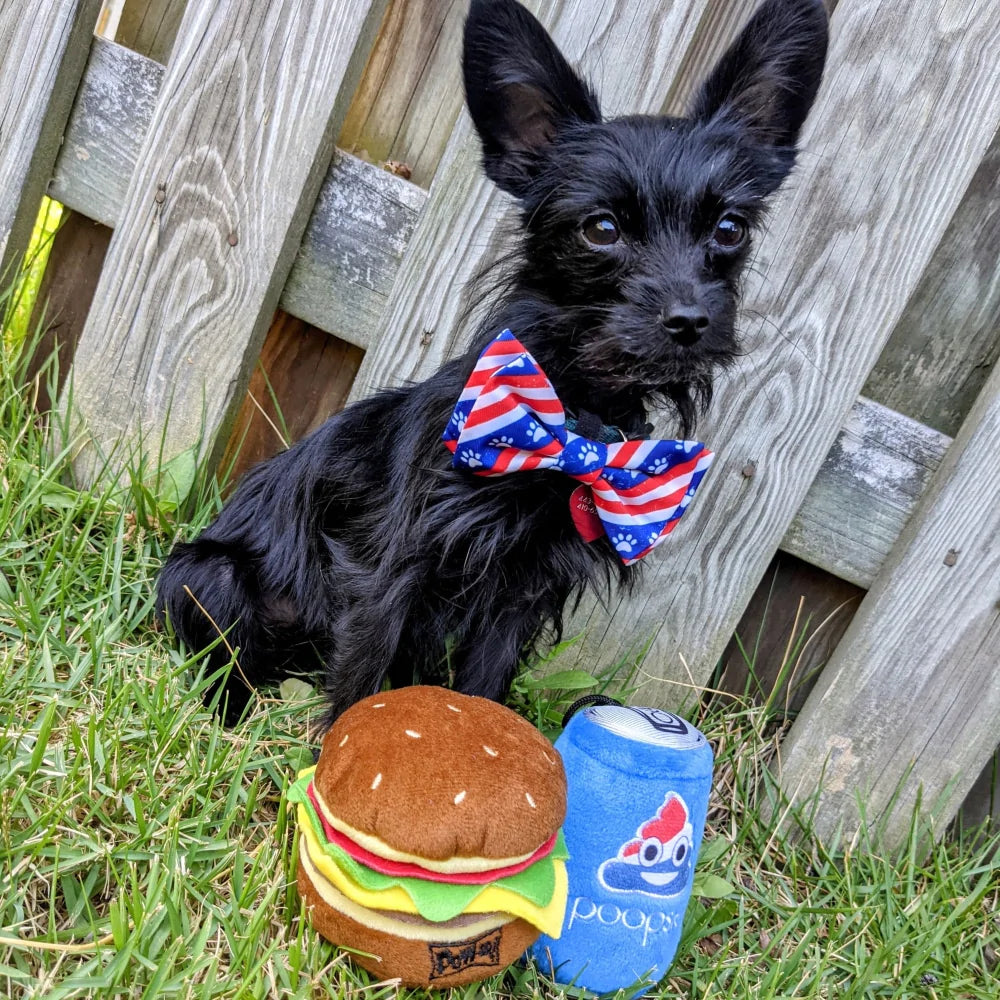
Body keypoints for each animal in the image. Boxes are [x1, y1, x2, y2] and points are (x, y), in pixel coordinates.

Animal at [158, 0, 828, 724]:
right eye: (601, 229)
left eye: (731, 229)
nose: (690, 322)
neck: (569, 415)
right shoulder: (387, 572)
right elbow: (361, 683)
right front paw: (336, 753)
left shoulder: (519, 599)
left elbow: (484, 684)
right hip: (211, 576)